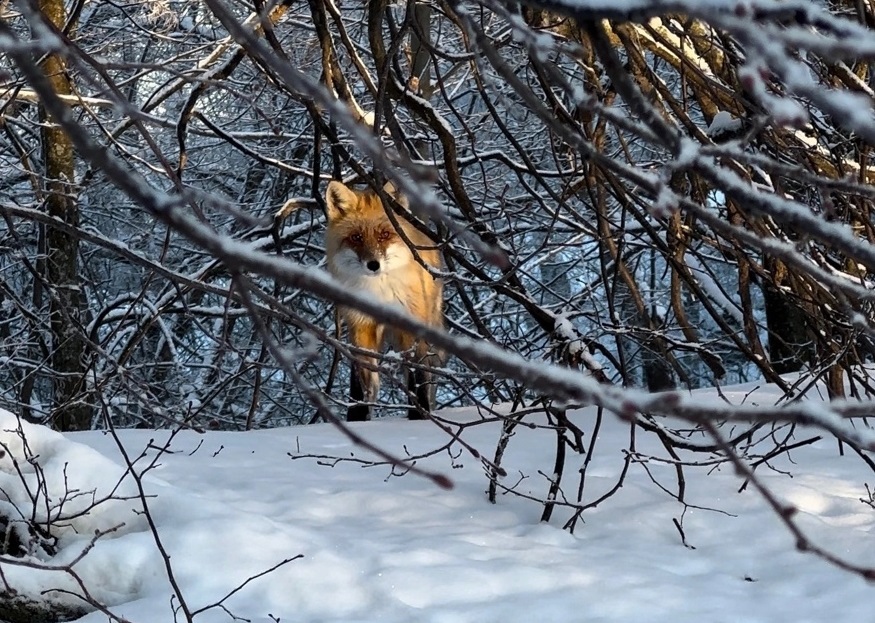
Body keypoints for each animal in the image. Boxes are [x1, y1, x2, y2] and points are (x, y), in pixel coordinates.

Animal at [325, 180, 443, 421]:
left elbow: (417, 375)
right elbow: (361, 379)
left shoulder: (411, 324)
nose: (373, 265)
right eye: (356, 237)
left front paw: (420, 416)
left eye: (385, 235)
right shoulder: (361, 324)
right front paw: (357, 417)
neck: (378, 293)